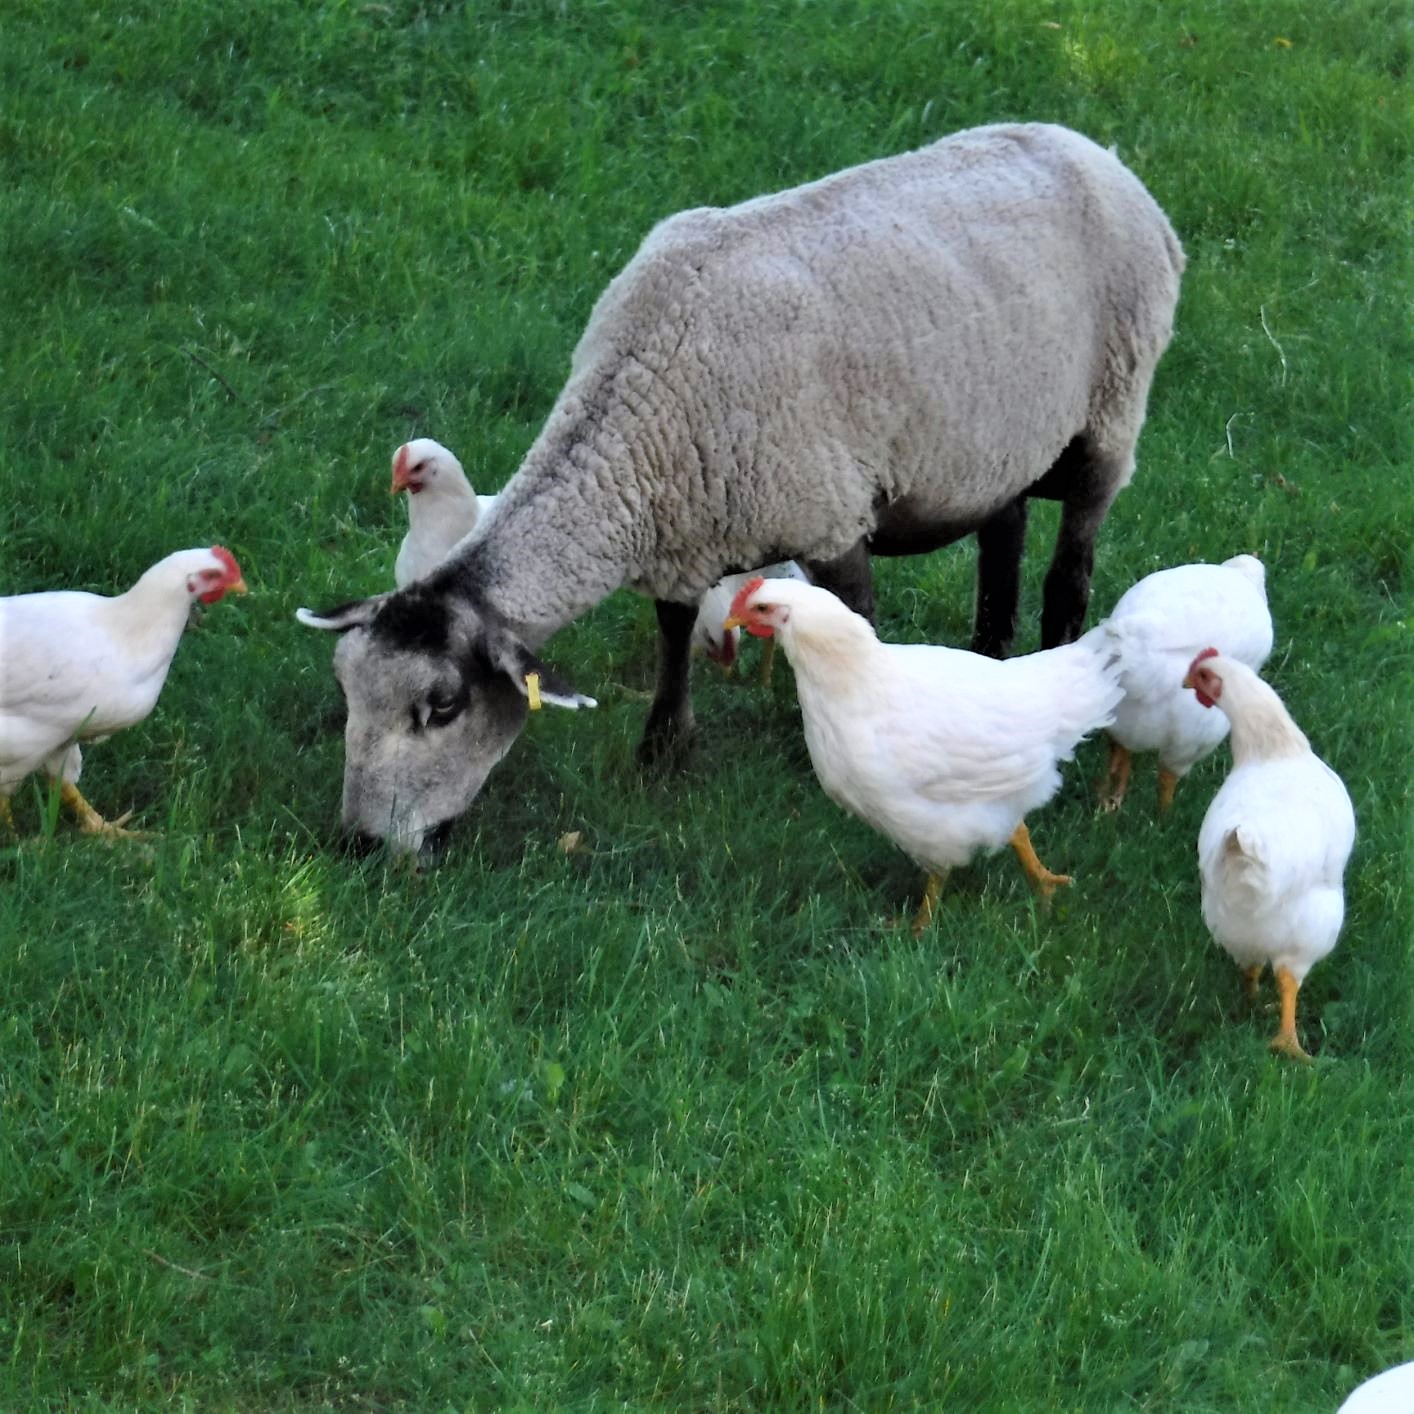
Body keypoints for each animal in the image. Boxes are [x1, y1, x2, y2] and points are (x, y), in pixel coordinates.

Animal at [298, 124, 1182, 848]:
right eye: (345, 689)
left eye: (443, 706)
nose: (361, 844)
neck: (640, 401)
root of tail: (1098, 152)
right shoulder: (684, 534)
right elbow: (672, 638)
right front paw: (662, 751)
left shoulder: (832, 519)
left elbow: (856, 625)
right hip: (992, 445)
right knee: (1004, 535)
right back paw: (989, 652)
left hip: (1111, 415)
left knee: (1071, 565)